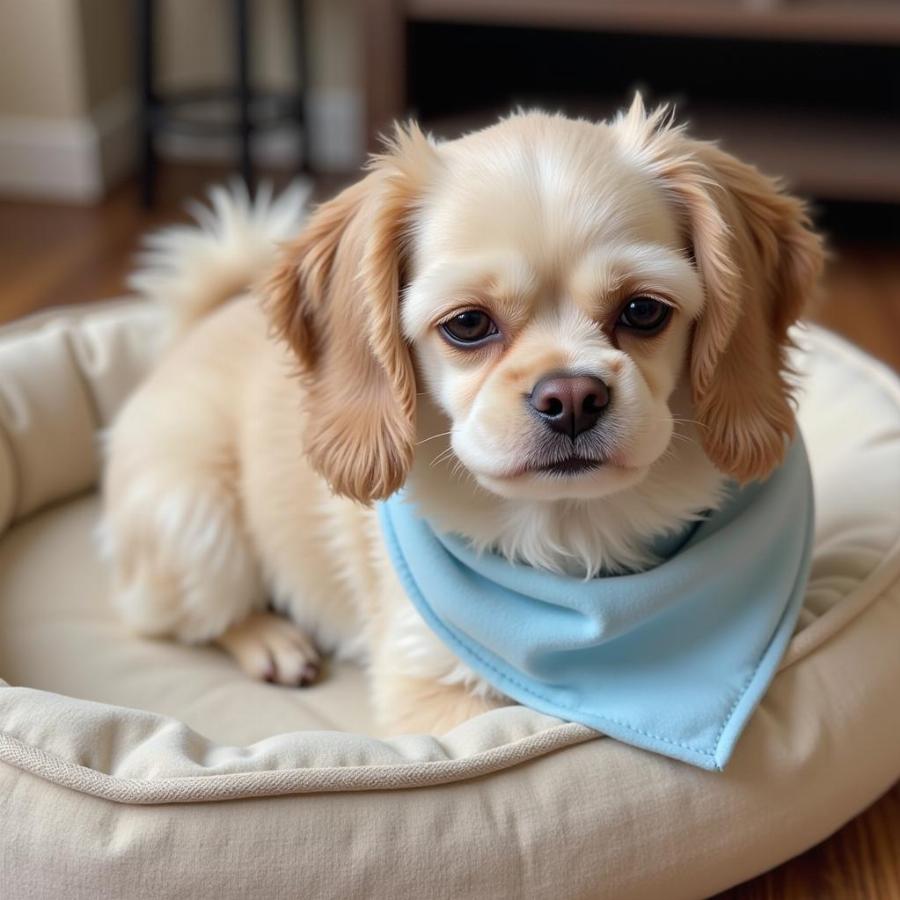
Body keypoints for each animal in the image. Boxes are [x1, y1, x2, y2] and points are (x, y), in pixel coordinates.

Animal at [100, 98, 824, 736]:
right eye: (468, 324)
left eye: (644, 311)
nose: (571, 396)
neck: (572, 536)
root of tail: (195, 326)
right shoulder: (428, 682)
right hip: (195, 519)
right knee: (181, 617)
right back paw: (273, 640)